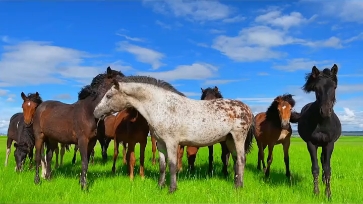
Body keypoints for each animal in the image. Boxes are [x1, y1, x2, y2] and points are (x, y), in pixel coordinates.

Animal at [94, 75, 256, 193]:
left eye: (108, 95)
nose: (96, 112)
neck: (162, 107)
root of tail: (247, 108)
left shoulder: (172, 143)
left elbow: (172, 165)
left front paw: (172, 189)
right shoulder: (160, 144)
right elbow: (162, 165)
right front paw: (160, 186)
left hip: (238, 138)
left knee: (241, 160)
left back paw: (238, 187)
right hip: (229, 140)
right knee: (235, 160)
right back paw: (236, 183)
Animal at [298, 64, 342, 199]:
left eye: (334, 86)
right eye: (316, 88)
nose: (325, 111)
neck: (322, 123)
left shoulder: (329, 144)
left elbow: (327, 169)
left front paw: (328, 194)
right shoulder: (311, 144)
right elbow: (315, 168)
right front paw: (316, 193)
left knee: (324, 160)